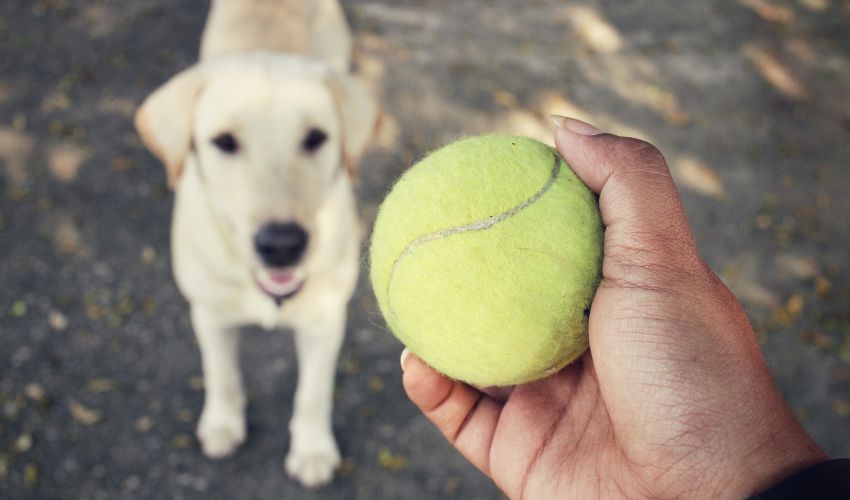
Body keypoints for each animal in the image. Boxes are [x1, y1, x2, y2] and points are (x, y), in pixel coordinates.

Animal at [133, 0, 378, 488]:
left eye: (316, 138)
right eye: (224, 142)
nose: (282, 244)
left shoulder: (325, 321)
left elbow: (313, 393)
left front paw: (312, 448)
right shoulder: (209, 314)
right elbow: (222, 373)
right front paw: (223, 423)